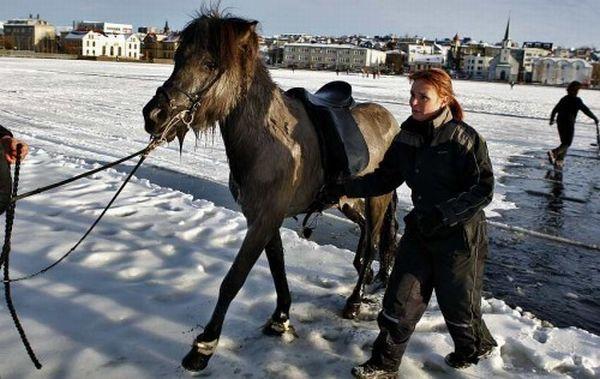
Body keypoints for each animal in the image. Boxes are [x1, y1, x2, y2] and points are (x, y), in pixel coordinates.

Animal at [143, 10, 400, 372]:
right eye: (178, 57)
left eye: (210, 63)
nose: (154, 115)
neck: (267, 139)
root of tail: (390, 120)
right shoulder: (264, 218)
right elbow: (278, 267)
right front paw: (281, 317)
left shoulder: (264, 220)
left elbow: (233, 279)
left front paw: (205, 345)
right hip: (348, 202)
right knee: (365, 236)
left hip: (377, 199)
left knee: (374, 243)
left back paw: (354, 299)